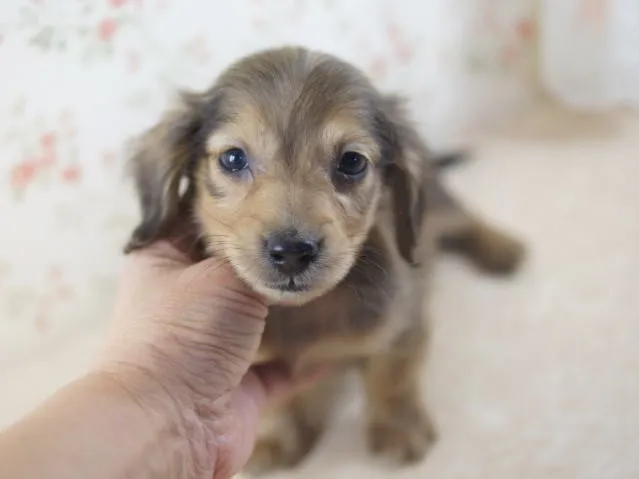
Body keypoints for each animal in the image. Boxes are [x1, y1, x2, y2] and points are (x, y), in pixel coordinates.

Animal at [125, 47, 524, 474]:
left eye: (352, 162)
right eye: (232, 158)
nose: (291, 253)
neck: (305, 313)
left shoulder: (405, 322)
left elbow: (392, 374)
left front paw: (398, 427)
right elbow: (277, 401)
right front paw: (278, 437)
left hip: (439, 208)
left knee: (469, 220)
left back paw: (502, 248)